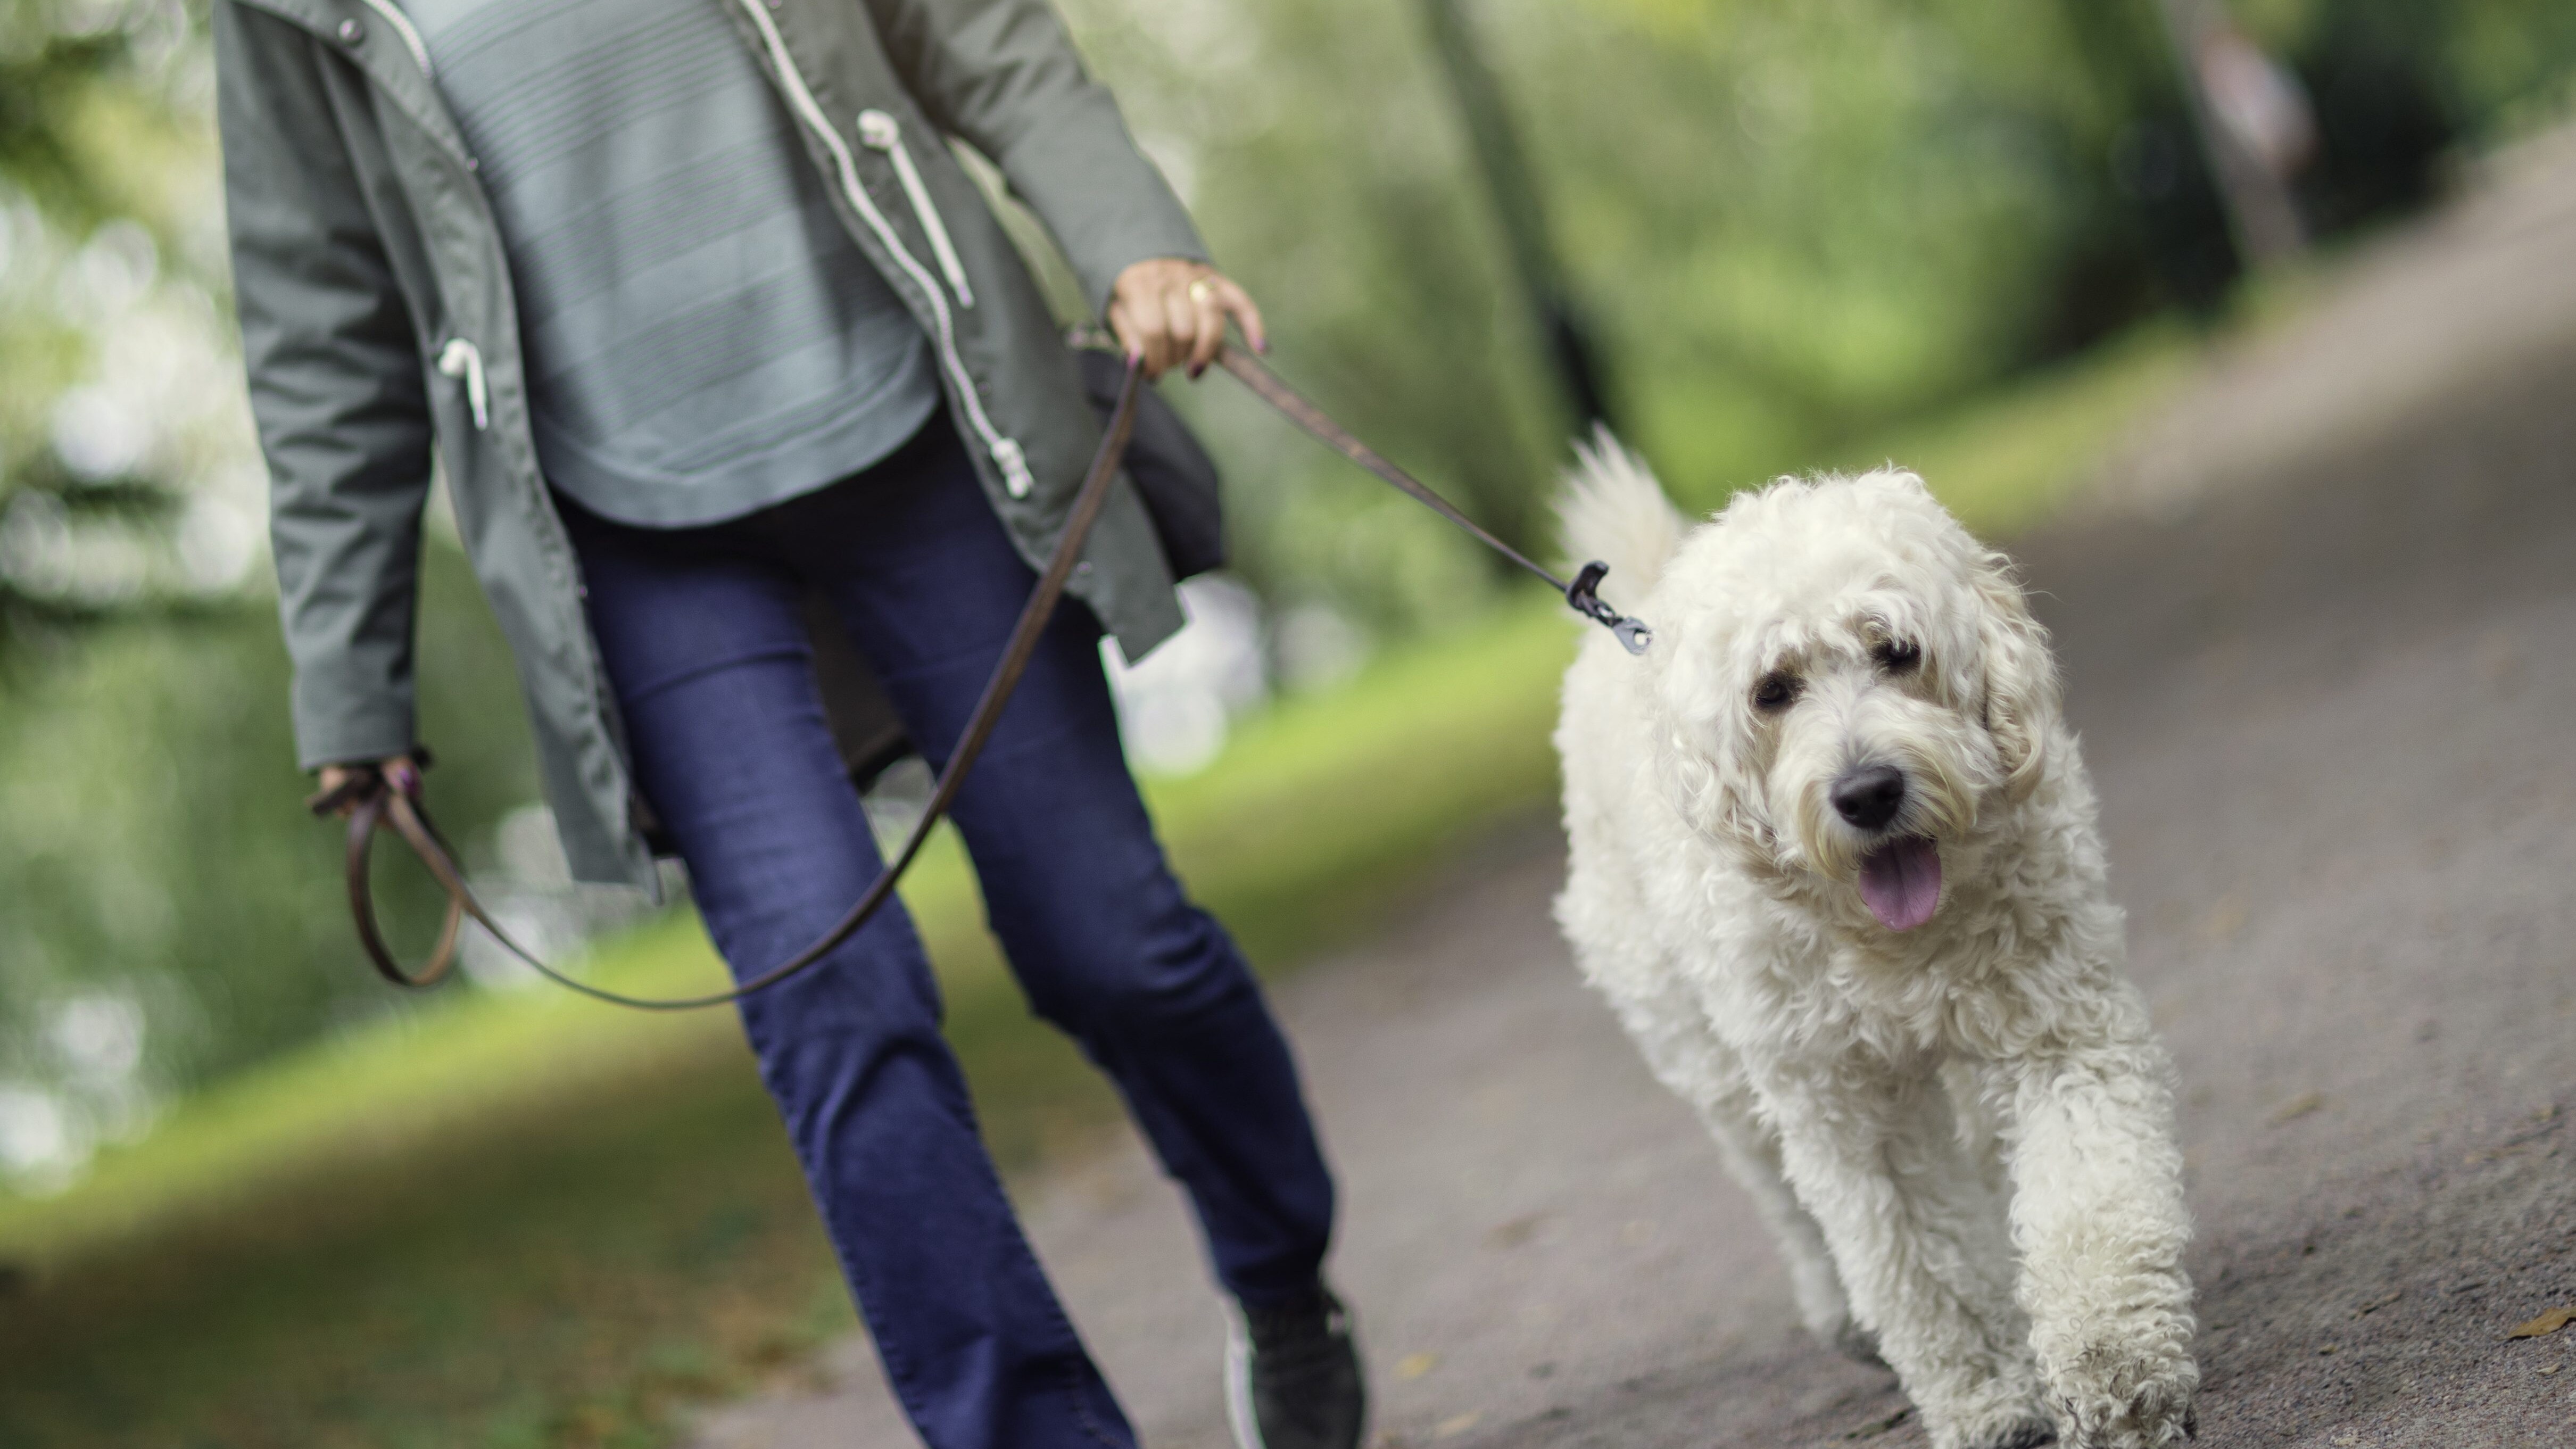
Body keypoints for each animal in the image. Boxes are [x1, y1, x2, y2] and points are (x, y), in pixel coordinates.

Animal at [1545, 441, 2194, 1444]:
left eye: (1898, 650)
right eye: (1773, 689)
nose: (1866, 791)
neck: (1895, 942)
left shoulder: (2057, 1030)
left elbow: (2090, 1196)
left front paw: (2112, 1368)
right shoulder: (1844, 1104)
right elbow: (1917, 1257)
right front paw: (1987, 1394)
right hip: (1710, 1058)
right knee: (1778, 1191)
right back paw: (1841, 1308)